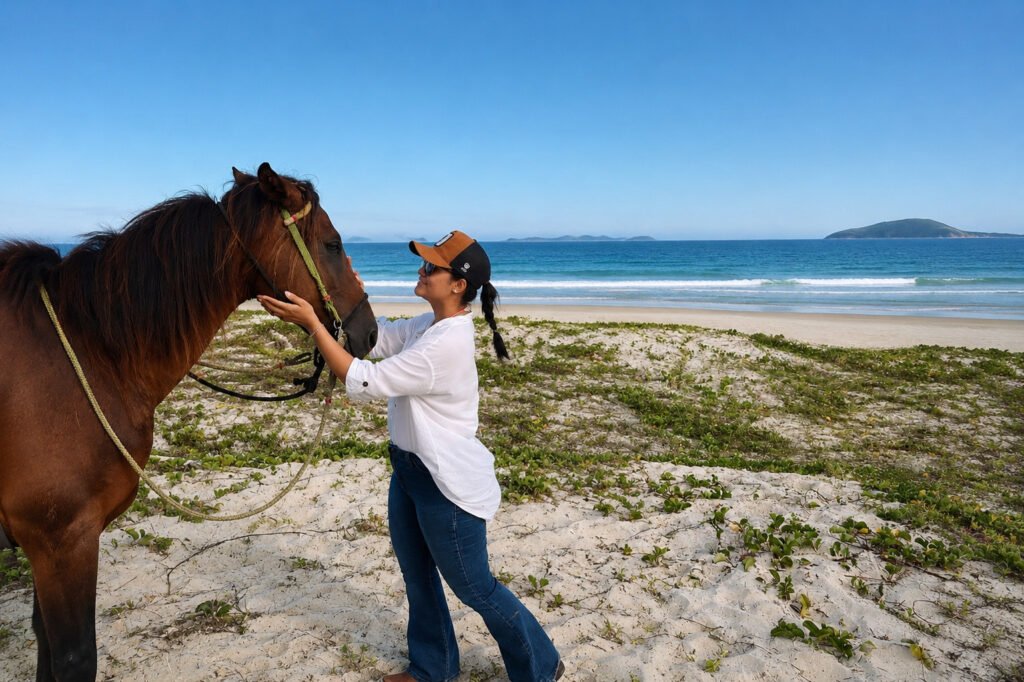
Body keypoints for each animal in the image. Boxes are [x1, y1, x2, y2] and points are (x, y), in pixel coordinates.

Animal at [0, 163, 378, 681]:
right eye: (334, 244)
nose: (371, 331)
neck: (91, 350)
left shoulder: (50, 546)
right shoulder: (61, 541)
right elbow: (75, 656)